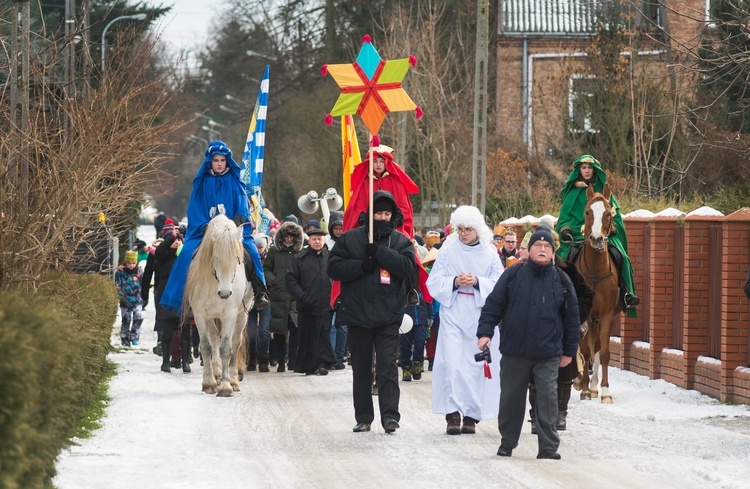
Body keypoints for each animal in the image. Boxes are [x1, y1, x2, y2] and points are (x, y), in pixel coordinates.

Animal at [184, 214, 254, 396]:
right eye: (215, 258)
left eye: (237, 259)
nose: (225, 293)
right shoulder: (200, 314)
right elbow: (206, 346)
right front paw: (209, 383)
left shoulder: (230, 313)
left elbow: (226, 348)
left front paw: (225, 386)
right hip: (211, 316)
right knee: (214, 338)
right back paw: (216, 373)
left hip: (241, 314)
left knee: (235, 342)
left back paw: (234, 379)